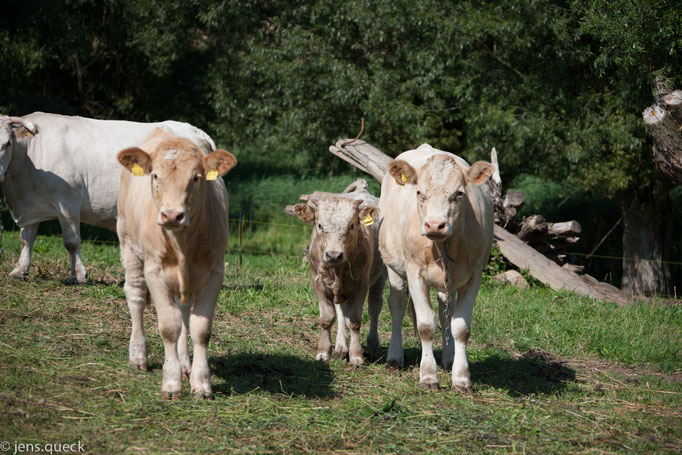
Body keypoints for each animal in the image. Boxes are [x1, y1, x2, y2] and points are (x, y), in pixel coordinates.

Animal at [0, 112, 215, 283]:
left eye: (7, 143)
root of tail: (194, 130)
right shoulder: (30, 206)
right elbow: (26, 238)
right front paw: (19, 270)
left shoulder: (67, 201)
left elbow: (71, 241)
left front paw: (78, 275)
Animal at [116, 128, 236, 399]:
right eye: (155, 176)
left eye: (196, 178)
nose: (172, 215)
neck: (183, 245)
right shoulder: (155, 271)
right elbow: (169, 327)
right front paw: (171, 383)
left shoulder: (214, 272)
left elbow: (200, 329)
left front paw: (201, 383)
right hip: (127, 240)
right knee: (136, 294)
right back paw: (138, 355)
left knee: (182, 311)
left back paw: (184, 364)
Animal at [293, 190, 386, 366]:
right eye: (319, 225)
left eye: (352, 225)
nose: (333, 255)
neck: (337, 270)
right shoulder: (318, 284)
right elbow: (327, 318)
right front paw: (323, 352)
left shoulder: (361, 285)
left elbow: (354, 321)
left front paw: (356, 355)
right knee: (341, 311)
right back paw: (341, 346)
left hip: (380, 276)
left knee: (374, 307)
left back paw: (372, 342)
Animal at [379, 143, 494, 392]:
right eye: (419, 192)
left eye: (459, 193)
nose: (434, 225)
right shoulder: (414, 273)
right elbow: (425, 325)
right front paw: (428, 375)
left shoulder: (474, 277)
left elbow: (460, 327)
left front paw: (461, 377)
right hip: (394, 268)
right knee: (397, 305)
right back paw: (395, 357)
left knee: (445, 312)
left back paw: (449, 359)